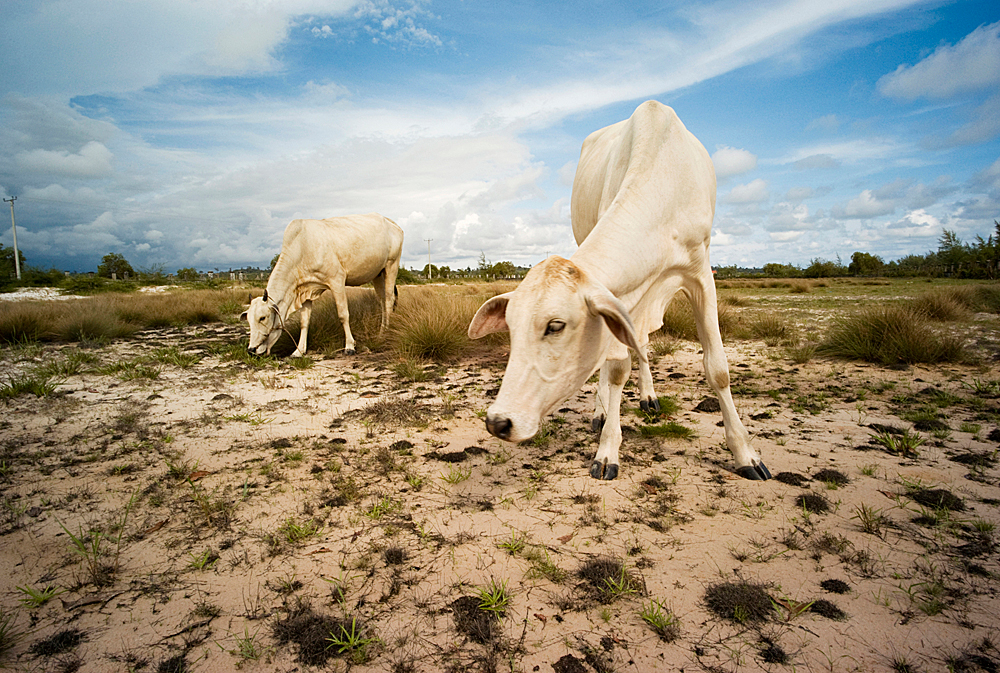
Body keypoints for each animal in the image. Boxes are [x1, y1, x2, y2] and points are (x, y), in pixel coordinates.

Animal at [244, 214, 404, 356]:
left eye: (262, 318)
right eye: (248, 319)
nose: (251, 350)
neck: (302, 246)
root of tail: (392, 223)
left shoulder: (337, 280)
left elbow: (343, 314)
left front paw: (349, 346)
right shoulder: (306, 290)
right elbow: (304, 322)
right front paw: (299, 351)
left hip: (391, 265)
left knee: (389, 300)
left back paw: (386, 333)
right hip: (378, 274)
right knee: (383, 301)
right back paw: (382, 331)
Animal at [470, 100, 772, 480]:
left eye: (556, 325)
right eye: (509, 327)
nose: (498, 422)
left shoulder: (702, 274)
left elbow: (717, 369)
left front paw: (746, 454)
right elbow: (615, 370)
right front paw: (607, 448)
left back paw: (648, 397)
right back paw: (602, 412)